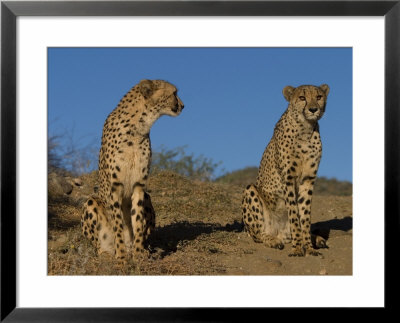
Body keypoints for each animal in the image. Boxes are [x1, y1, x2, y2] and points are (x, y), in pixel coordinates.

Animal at [81, 79, 184, 262]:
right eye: (174, 93)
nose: (183, 106)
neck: (137, 128)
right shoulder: (115, 187)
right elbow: (117, 223)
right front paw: (121, 257)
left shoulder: (139, 185)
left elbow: (137, 219)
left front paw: (137, 254)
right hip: (92, 202)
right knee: (99, 245)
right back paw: (108, 253)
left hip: (148, 197)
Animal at [242, 85, 330, 256]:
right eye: (302, 98)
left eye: (319, 96)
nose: (313, 109)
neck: (305, 129)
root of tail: (279, 233)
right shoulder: (288, 178)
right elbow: (295, 215)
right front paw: (297, 248)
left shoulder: (308, 179)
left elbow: (304, 216)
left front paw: (308, 247)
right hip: (251, 191)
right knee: (257, 234)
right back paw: (273, 240)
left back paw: (316, 238)